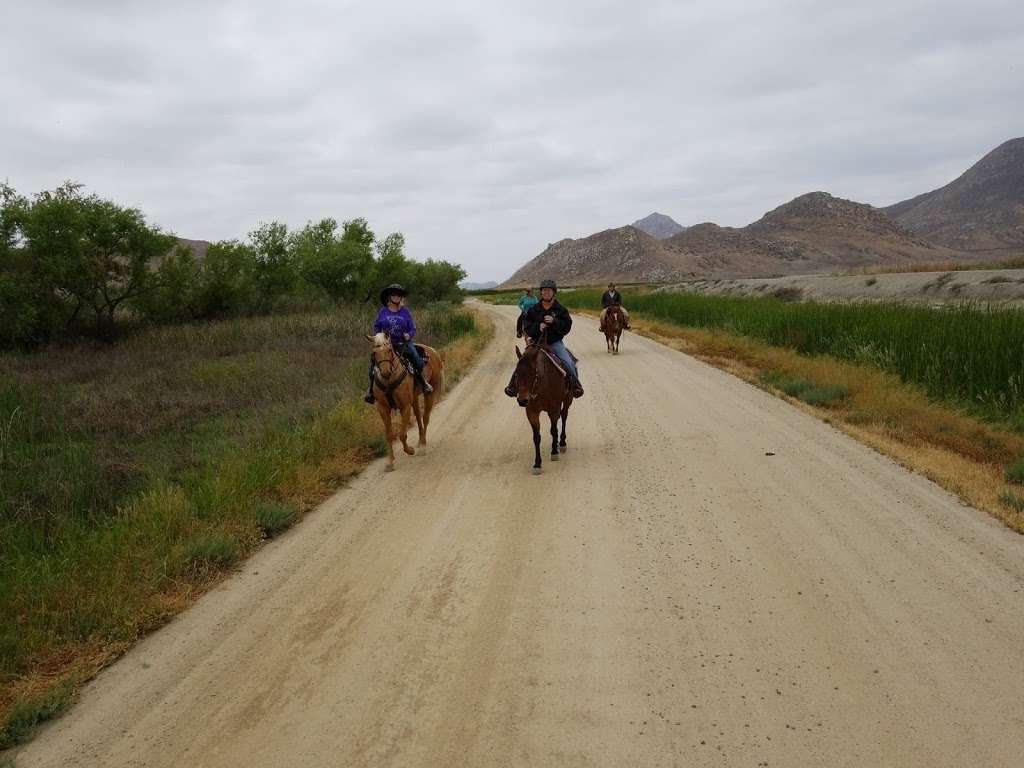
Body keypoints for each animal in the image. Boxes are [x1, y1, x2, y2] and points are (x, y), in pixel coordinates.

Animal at [364, 333, 444, 473]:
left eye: (389, 350)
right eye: (374, 353)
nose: (386, 372)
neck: (388, 381)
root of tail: (432, 351)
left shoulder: (404, 406)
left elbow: (402, 434)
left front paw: (410, 450)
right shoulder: (383, 408)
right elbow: (389, 435)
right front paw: (390, 463)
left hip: (430, 393)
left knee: (425, 417)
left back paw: (423, 446)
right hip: (414, 398)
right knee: (418, 416)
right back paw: (420, 441)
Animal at [512, 342, 577, 475]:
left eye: (533, 374)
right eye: (516, 374)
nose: (522, 400)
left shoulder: (553, 409)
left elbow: (553, 430)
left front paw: (554, 452)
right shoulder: (531, 412)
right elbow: (536, 437)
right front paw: (537, 464)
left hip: (568, 400)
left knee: (564, 416)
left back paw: (561, 443)